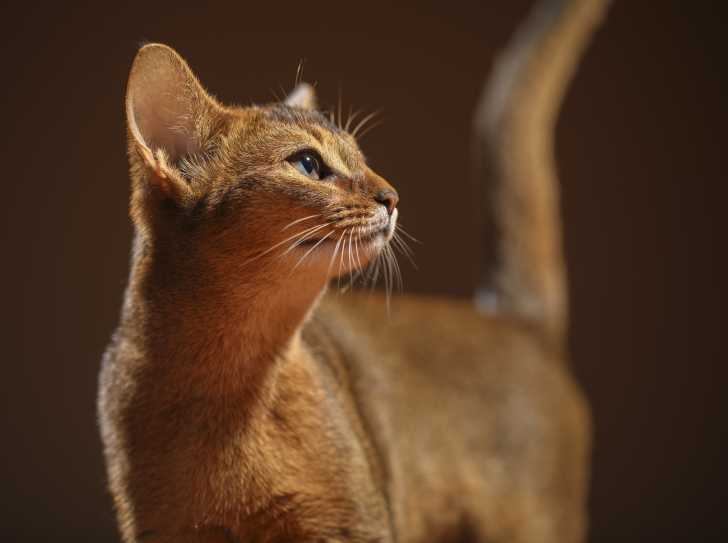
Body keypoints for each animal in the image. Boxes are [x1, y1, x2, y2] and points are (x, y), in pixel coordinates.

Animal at [98, 0, 610, 541]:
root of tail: (511, 320)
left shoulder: (355, 525)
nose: (392, 197)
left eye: (361, 159)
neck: (224, 391)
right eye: (307, 163)